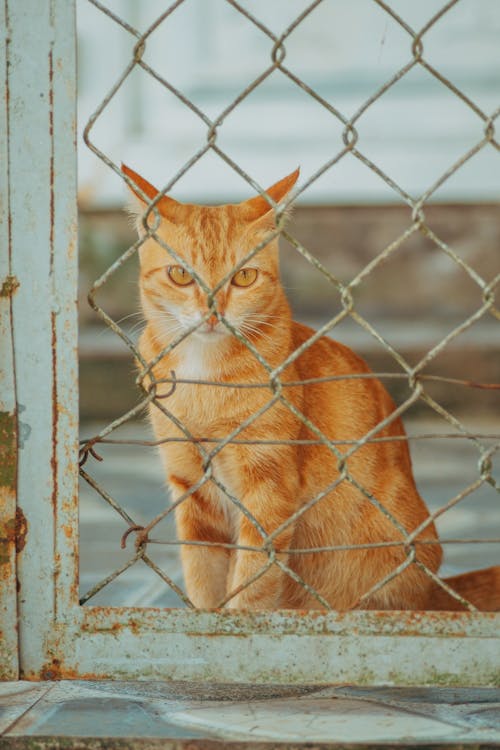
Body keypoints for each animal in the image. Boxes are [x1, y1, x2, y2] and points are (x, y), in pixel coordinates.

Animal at [122, 163, 500, 612]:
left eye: (244, 277)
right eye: (181, 274)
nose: (213, 314)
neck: (204, 373)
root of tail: (432, 593)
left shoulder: (269, 490)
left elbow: (252, 582)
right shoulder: (191, 488)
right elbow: (203, 578)